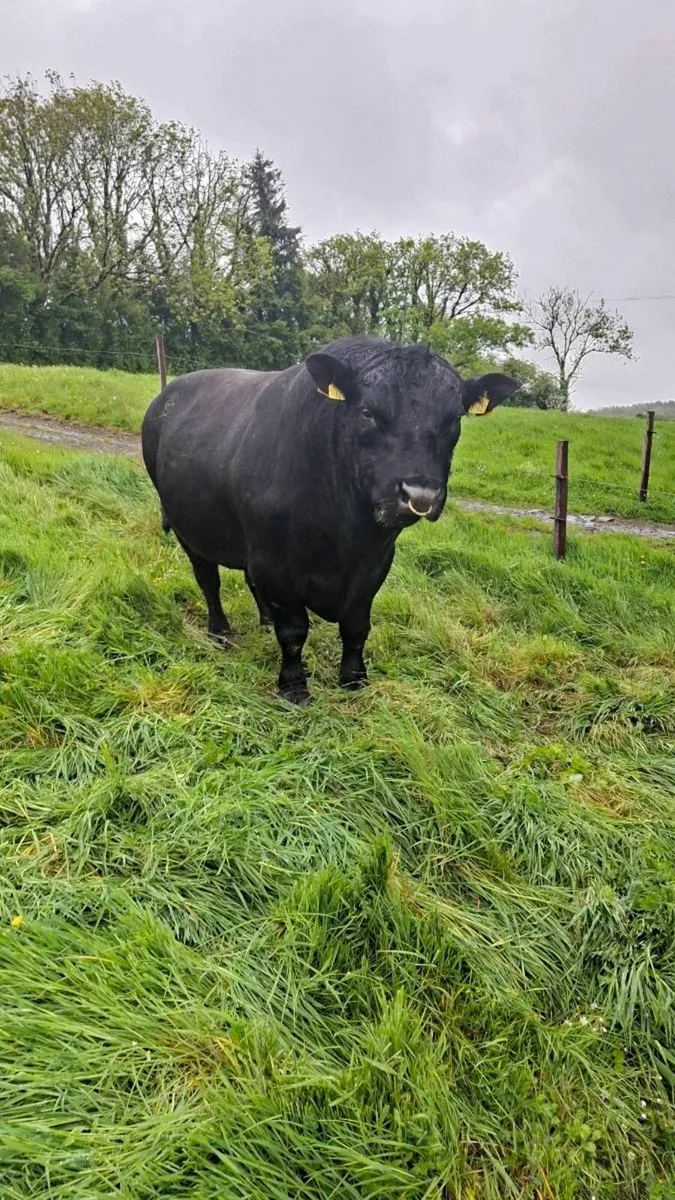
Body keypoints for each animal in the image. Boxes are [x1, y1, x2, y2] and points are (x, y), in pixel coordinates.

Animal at [141, 335, 517, 704]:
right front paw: (294, 685)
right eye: (367, 412)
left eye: (454, 419)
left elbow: (356, 627)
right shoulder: (274, 563)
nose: (421, 495)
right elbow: (294, 631)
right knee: (209, 581)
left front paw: (354, 678)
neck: (345, 532)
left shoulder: (375, 563)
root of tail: (167, 394)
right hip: (189, 529)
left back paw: (264, 620)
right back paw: (219, 631)